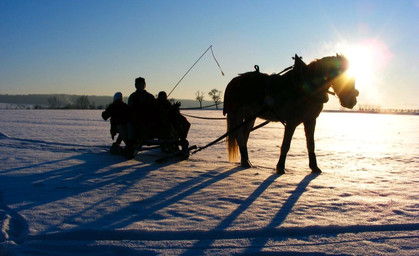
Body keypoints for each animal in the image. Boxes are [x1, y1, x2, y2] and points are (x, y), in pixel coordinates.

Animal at [225, 54, 360, 174]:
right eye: (341, 76)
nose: (352, 101)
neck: (307, 88)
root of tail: (233, 81)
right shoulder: (292, 122)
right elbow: (286, 145)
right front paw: (280, 167)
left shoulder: (311, 119)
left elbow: (311, 144)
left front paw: (314, 167)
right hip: (236, 114)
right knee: (239, 135)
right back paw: (246, 161)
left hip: (250, 116)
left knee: (244, 135)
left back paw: (245, 161)